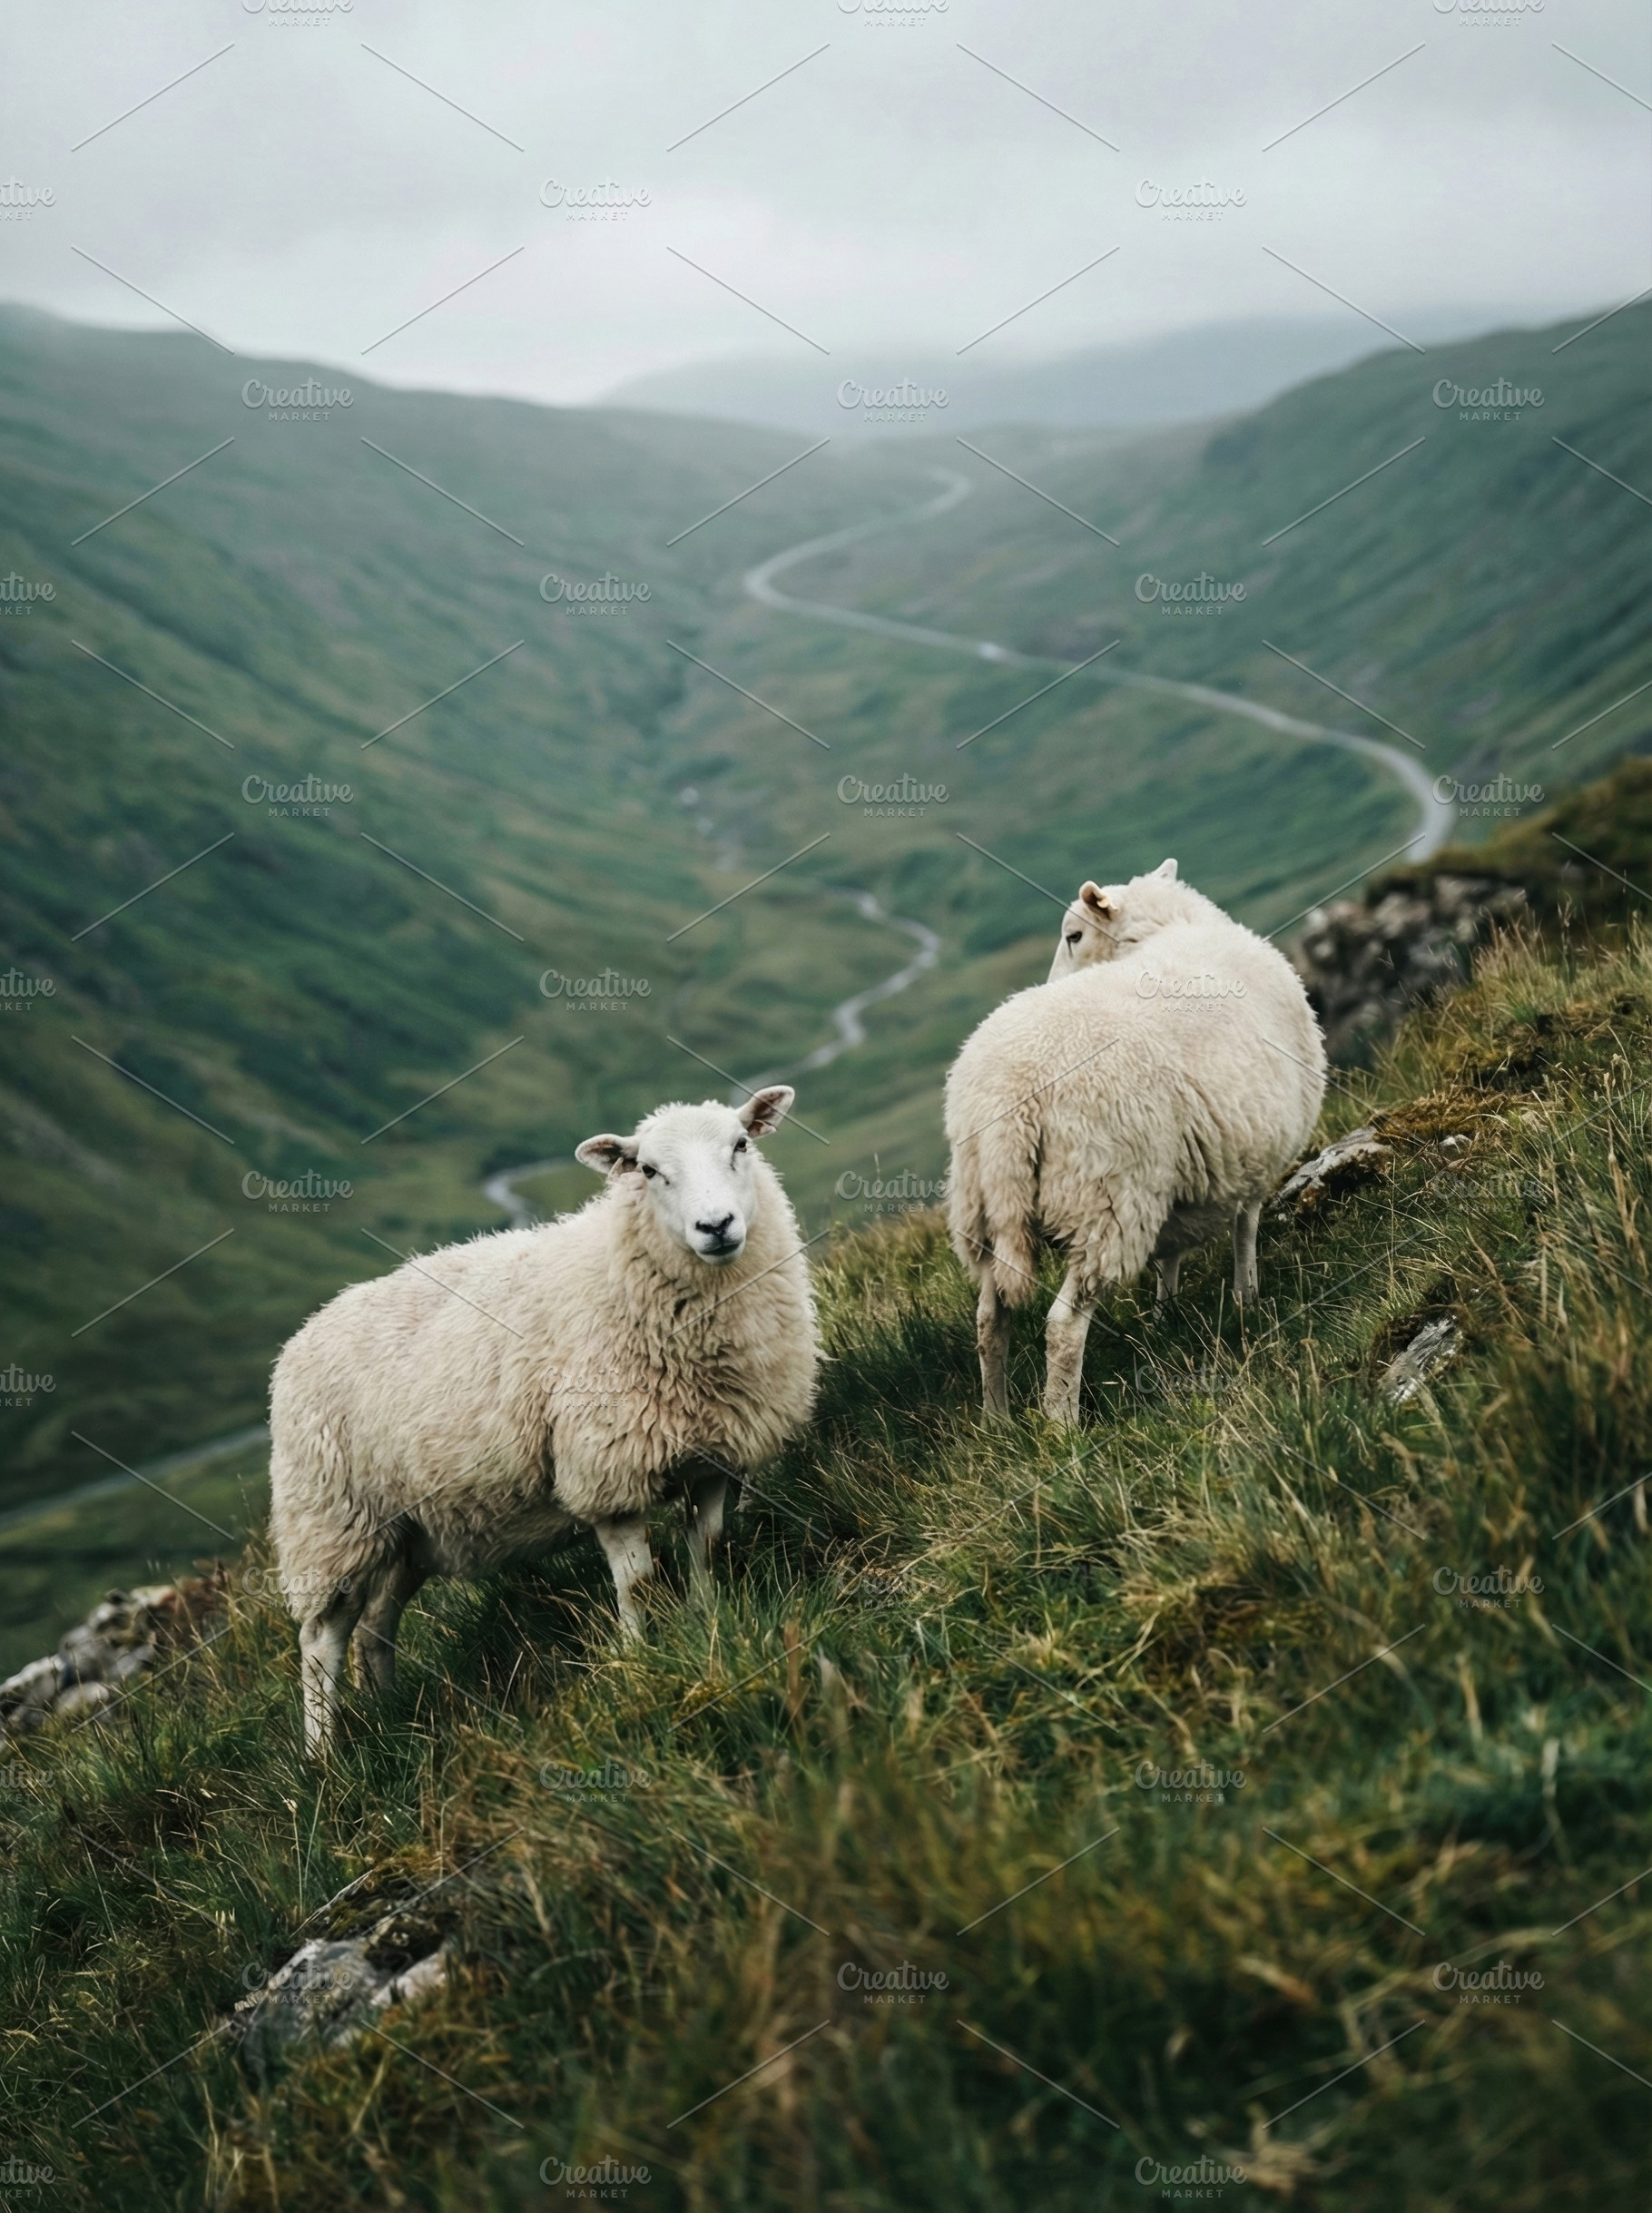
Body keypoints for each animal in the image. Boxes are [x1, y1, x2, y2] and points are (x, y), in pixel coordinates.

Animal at [269, 1087, 818, 1754]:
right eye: (648, 1170)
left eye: (740, 1145)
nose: (716, 1227)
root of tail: (301, 1334)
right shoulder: (607, 1472)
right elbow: (636, 1586)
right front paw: (639, 1663)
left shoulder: (716, 1456)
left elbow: (708, 1551)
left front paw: (710, 1625)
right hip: (329, 1524)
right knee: (320, 1641)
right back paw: (323, 1754)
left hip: (407, 1531)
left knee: (376, 1624)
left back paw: (389, 1710)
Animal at [945, 861, 1326, 1424]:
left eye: (1074, 935)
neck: (1169, 931)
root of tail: (1009, 1100)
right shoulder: (1250, 1155)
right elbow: (1246, 1226)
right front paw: (1246, 1297)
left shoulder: (1183, 1176)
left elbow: (1172, 1249)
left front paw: (1167, 1312)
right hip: (1104, 1201)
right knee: (1063, 1324)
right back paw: (1061, 1423)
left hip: (986, 1210)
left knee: (990, 1320)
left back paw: (998, 1421)